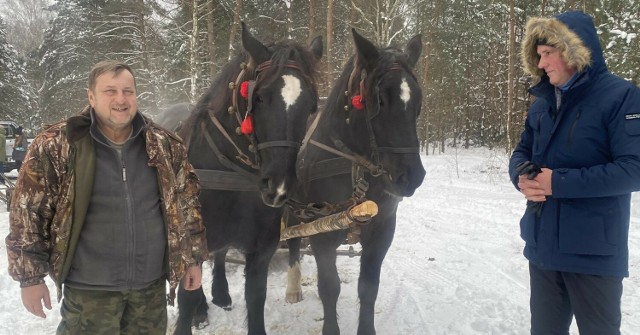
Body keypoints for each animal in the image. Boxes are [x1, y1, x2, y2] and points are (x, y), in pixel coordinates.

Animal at [158, 23, 322, 335]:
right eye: (259, 97)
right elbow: (186, 298)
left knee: (220, 254)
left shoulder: (262, 248)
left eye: (311, 106)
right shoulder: (190, 246)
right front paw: (194, 311)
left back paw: (221, 294)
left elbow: (255, 297)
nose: (279, 186)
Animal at [284, 29, 424, 335]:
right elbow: (329, 287)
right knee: (292, 242)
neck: (354, 167)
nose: (411, 176)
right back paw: (293, 287)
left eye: (418, 101)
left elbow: (368, 289)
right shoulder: (321, 235)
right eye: (378, 99)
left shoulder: (382, 232)